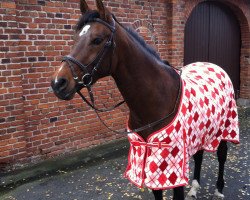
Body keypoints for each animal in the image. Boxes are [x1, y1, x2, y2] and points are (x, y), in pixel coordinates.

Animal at [49, 0, 239, 199]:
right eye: (75, 38)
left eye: (97, 40)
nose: (58, 83)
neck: (157, 100)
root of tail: (215, 66)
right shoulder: (151, 162)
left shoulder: (172, 164)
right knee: (200, 155)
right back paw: (194, 189)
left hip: (225, 129)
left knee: (222, 155)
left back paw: (218, 190)